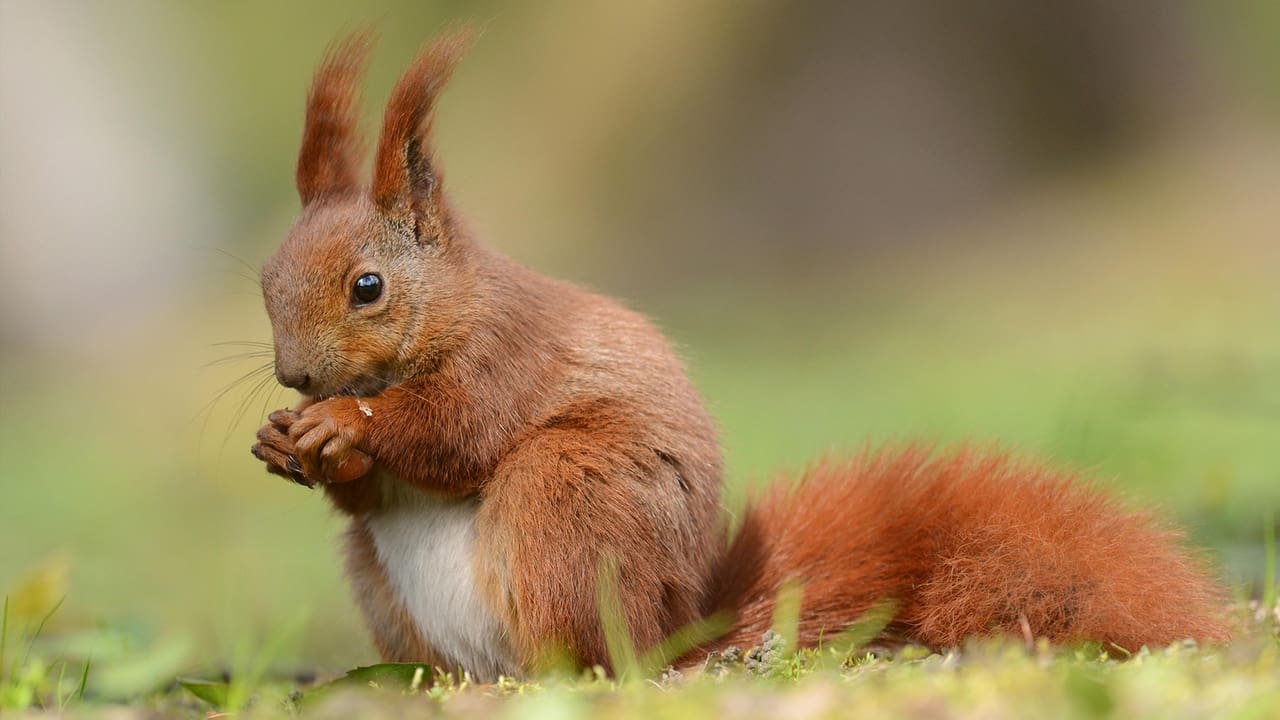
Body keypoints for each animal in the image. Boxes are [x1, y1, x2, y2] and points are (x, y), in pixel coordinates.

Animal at [247, 29, 1228, 676]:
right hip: (385, 579)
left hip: (564, 499)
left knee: (589, 661)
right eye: (265, 278)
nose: (297, 377)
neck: (449, 307)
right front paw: (282, 438)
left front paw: (343, 423)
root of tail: (676, 637)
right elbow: (373, 488)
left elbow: (452, 431)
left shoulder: (505, 355)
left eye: (368, 287)